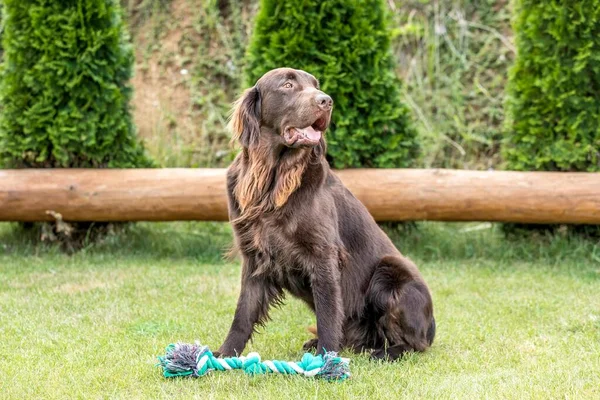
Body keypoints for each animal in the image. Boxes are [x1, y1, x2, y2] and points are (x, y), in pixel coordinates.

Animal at [218, 68, 434, 360]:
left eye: (315, 84)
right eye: (288, 85)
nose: (327, 101)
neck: (273, 180)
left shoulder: (323, 254)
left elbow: (328, 313)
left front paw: (326, 360)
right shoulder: (254, 256)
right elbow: (242, 314)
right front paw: (222, 355)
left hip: (390, 272)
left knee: (415, 344)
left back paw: (383, 353)